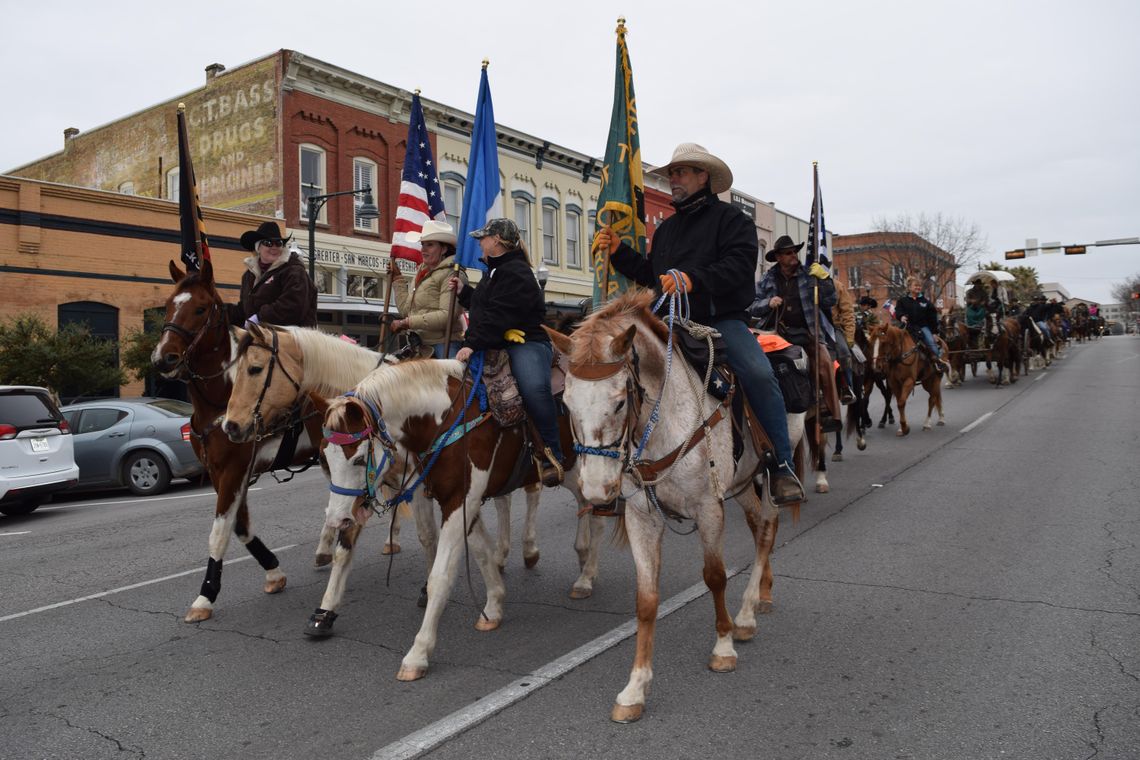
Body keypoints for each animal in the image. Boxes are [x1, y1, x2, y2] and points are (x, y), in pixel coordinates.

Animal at [151, 258, 330, 619]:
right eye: (169, 305)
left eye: (200, 308)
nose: (164, 358)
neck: (221, 401)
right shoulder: (222, 473)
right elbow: (240, 526)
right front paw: (274, 572)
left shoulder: (234, 469)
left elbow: (219, 532)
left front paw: (206, 595)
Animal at [547, 288, 807, 724]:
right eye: (566, 403)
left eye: (620, 403)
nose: (597, 490)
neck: (663, 420)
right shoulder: (642, 516)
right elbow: (646, 600)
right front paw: (635, 689)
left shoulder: (709, 507)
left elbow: (715, 577)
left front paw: (722, 648)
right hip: (742, 484)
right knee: (759, 525)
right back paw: (760, 599)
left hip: (769, 476)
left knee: (768, 527)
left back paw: (745, 615)